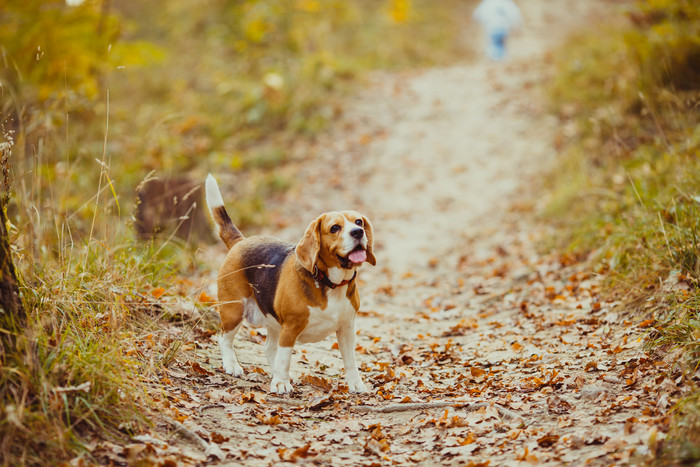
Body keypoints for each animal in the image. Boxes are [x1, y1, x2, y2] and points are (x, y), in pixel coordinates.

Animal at [204, 174, 374, 394]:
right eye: (335, 228)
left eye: (358, 221)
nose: (358, 232)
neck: (330, 284)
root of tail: (240, 241)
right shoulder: (291, 327)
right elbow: (285, 358)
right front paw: (281, 383)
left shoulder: (347, 328)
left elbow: (350, 360)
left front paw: (356, 384)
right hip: (234, 310)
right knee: (224, 338)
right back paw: (232, 365)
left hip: (272, 320)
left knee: (268, 347)